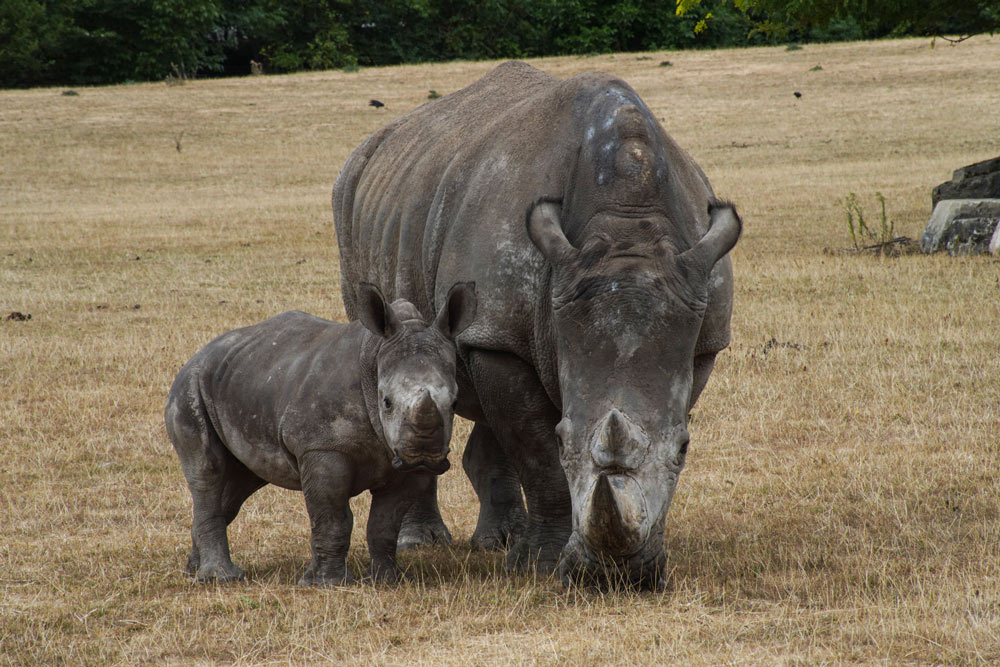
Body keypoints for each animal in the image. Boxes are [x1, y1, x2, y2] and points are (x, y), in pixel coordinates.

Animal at [164, 282, 477, 585]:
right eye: (386, 402)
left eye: (455, 403)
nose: (423, 455)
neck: (375, 358)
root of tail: (199, 354)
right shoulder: (322, 447)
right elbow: (332, 518)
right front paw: (328, 583)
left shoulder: (403, 464)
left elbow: (384, 523)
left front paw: (389, 580)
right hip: (189, 387)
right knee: (208, 471)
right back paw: (221, 578)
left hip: (240, 382)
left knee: (240, 481)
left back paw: (194, 570)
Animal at [333, 61, 740, 587]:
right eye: (566, 440)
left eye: (687, 449)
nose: (618, 577)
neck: (627, 226)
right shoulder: (497, 335)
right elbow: (538, 454)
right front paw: (543, 566)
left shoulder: (703, 341)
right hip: (354, 201)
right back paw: (425, 542)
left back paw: (499, 541)